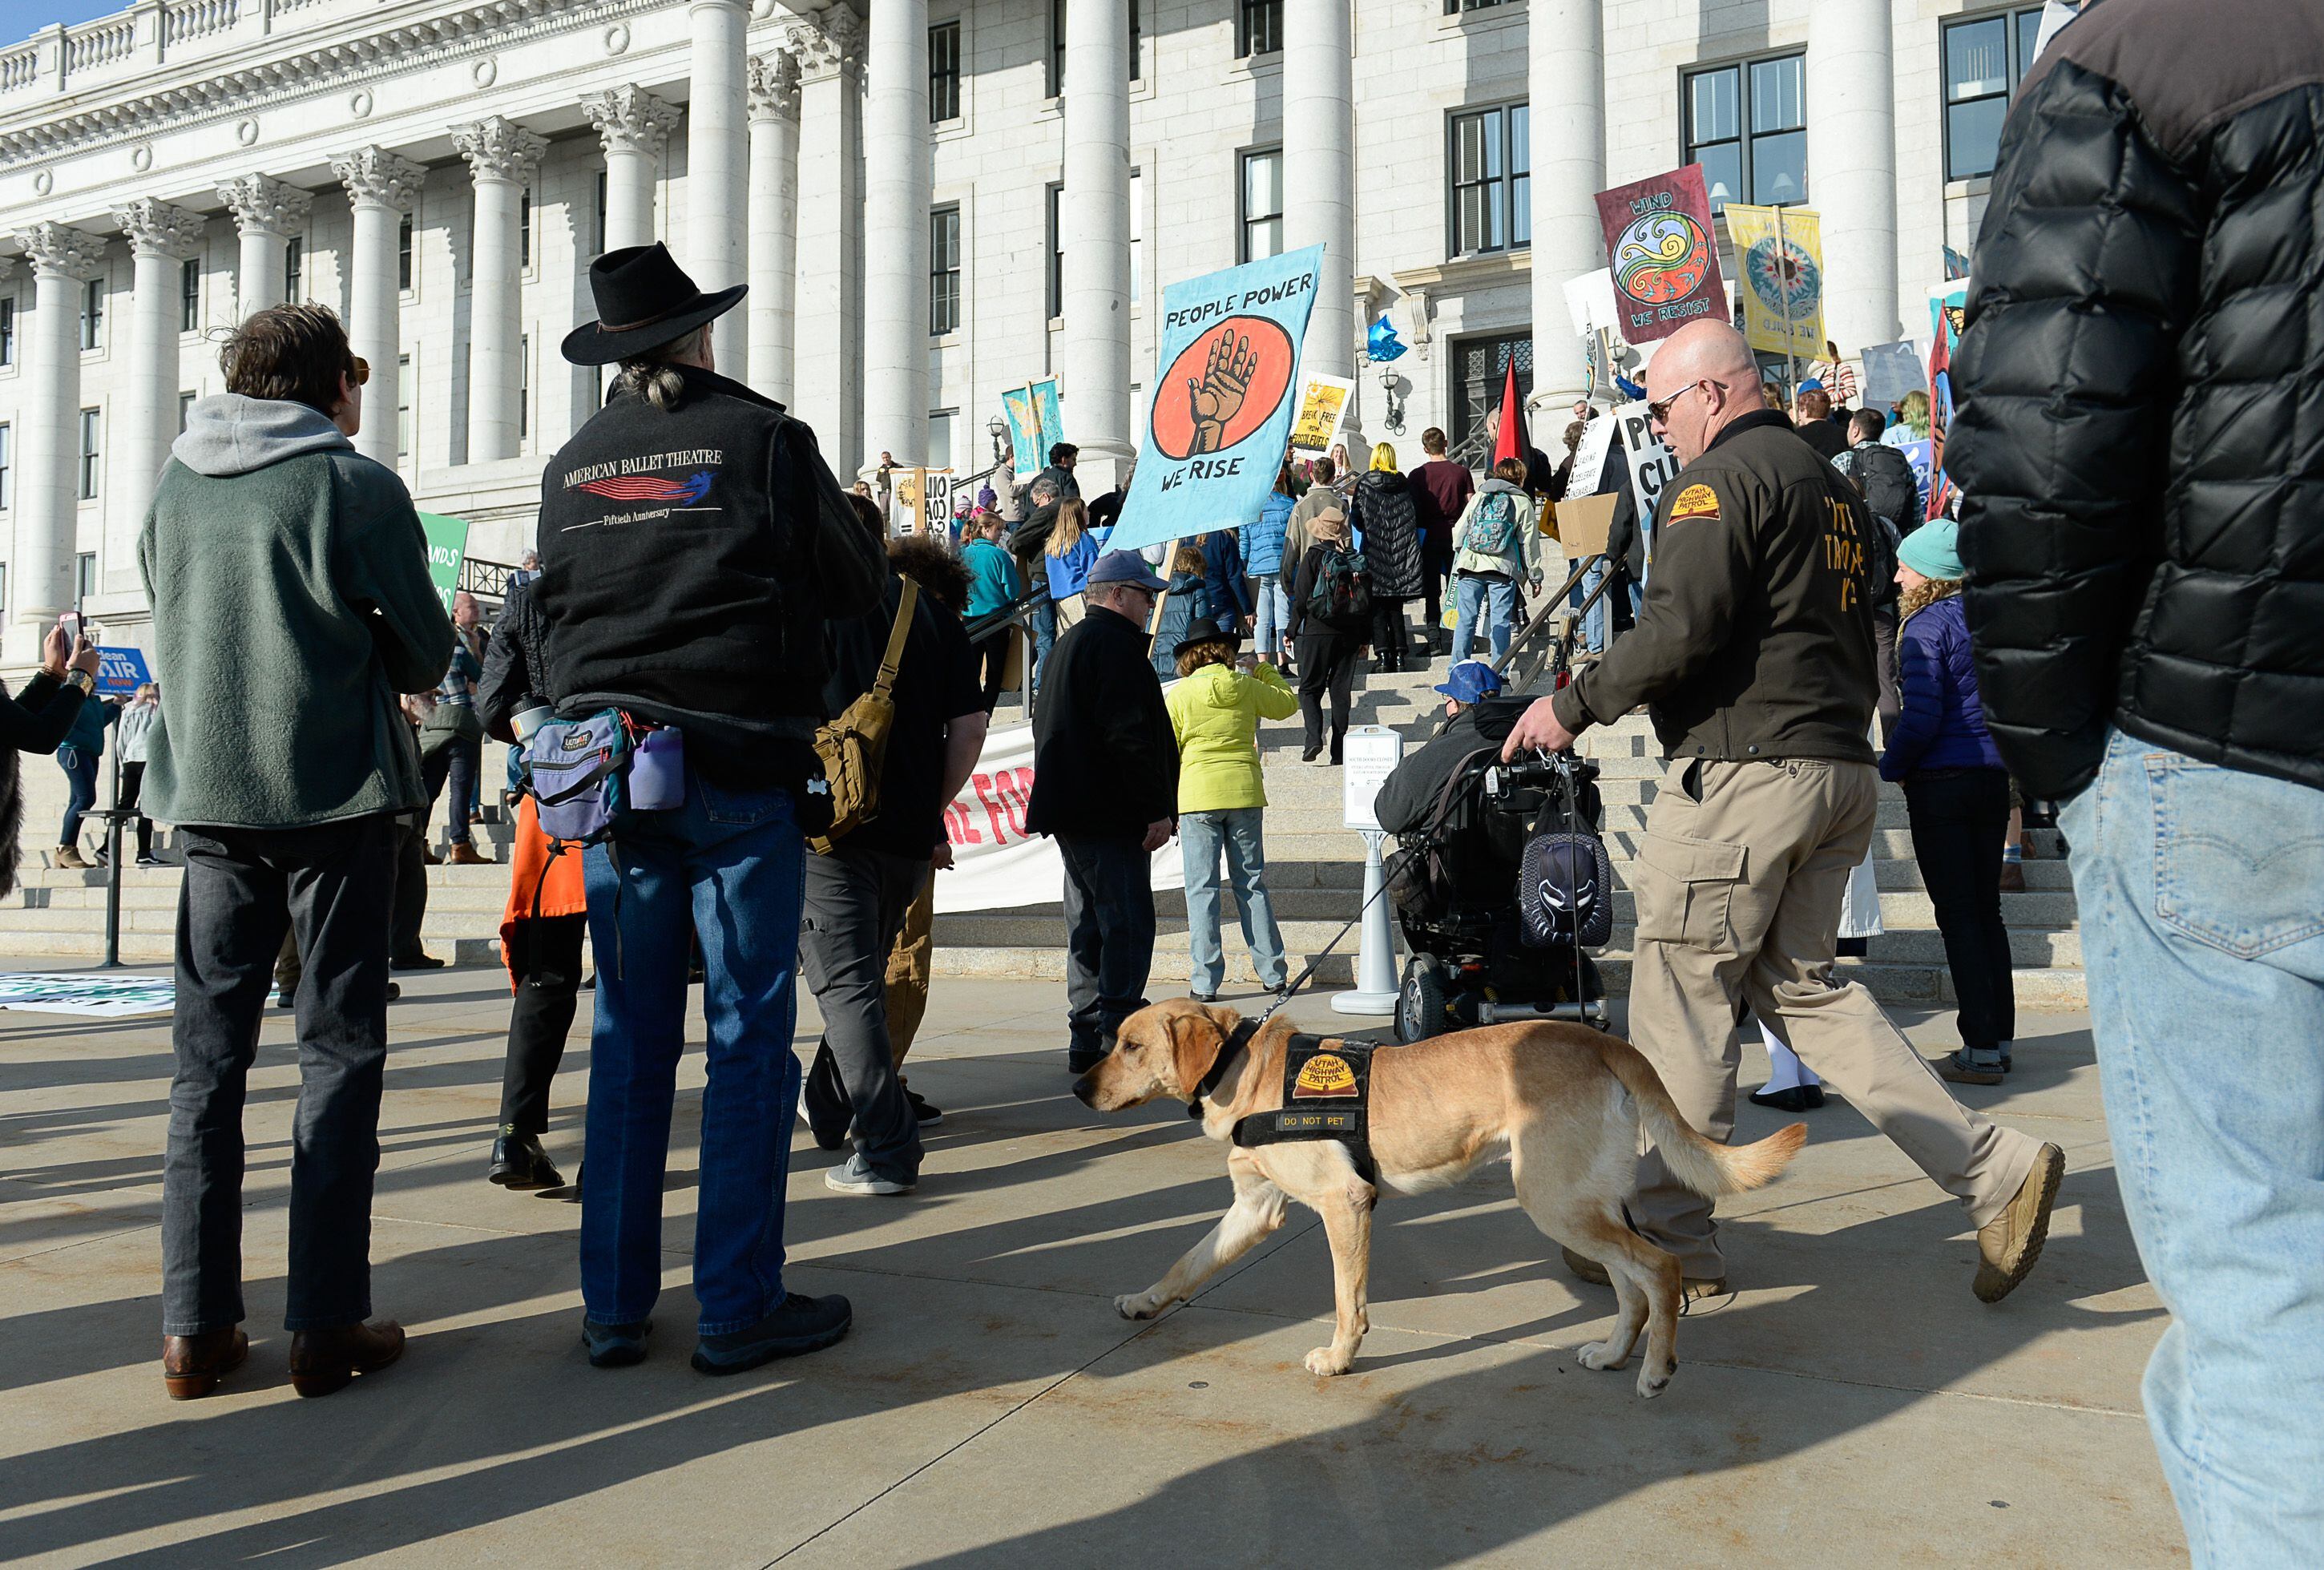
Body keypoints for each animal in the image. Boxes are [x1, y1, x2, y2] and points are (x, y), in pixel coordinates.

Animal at [1078, 999, 1803, 1393]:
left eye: (1131, 1045)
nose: (1080, 1088)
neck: (1242, 1065)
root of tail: (1593, 1035)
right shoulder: (1253, 1208)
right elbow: (1185, 1263)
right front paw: (1144, 1300)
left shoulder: (1345, 1203)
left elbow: (1347, 1301)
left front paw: (1340, 1358)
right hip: (1578, 1202)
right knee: (1633, 1286)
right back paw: (1613, 1353)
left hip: (1553, 1199)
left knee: (1661, 1267)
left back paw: (1654, 1370)